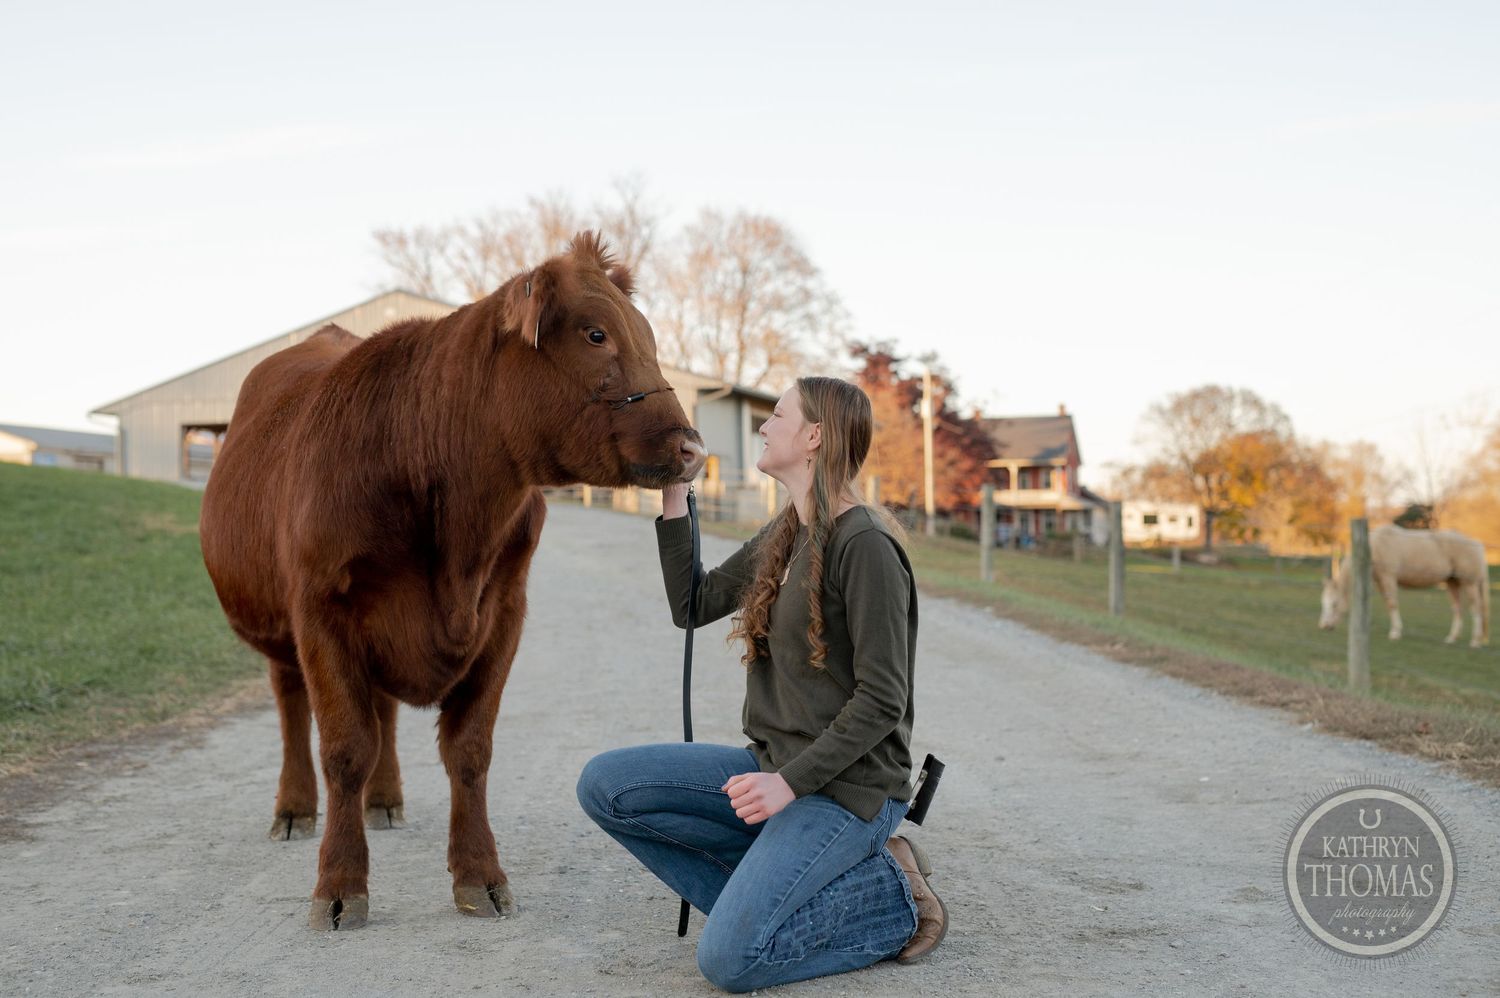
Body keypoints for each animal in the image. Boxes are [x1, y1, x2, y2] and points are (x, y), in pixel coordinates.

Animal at [199, 232, 706, 930]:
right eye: (596, 334)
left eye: (648, 337)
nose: (692, 449)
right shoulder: (321, 610)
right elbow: (344, 748)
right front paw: (338, 883)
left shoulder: (504, 613)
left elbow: (469, 750)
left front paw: (480, 874)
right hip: (278, 626)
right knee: (291, 705)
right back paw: (295, 808)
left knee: (382, 709)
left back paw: (384, 800)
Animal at [1320, 524, 1491, 648]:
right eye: (1323, 603)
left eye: (1334, 604)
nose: (1324, 626)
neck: (1375, 546)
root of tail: (1477, 544)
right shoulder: (1380, 582)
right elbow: (1387, 604)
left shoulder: (1388, 578)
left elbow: (1392, 604)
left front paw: (1395, 633)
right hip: (1452, 583)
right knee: (1457, 609)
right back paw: (1451, 638)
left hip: (1470, 584)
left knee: (1476, 610)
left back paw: (1475, 641)